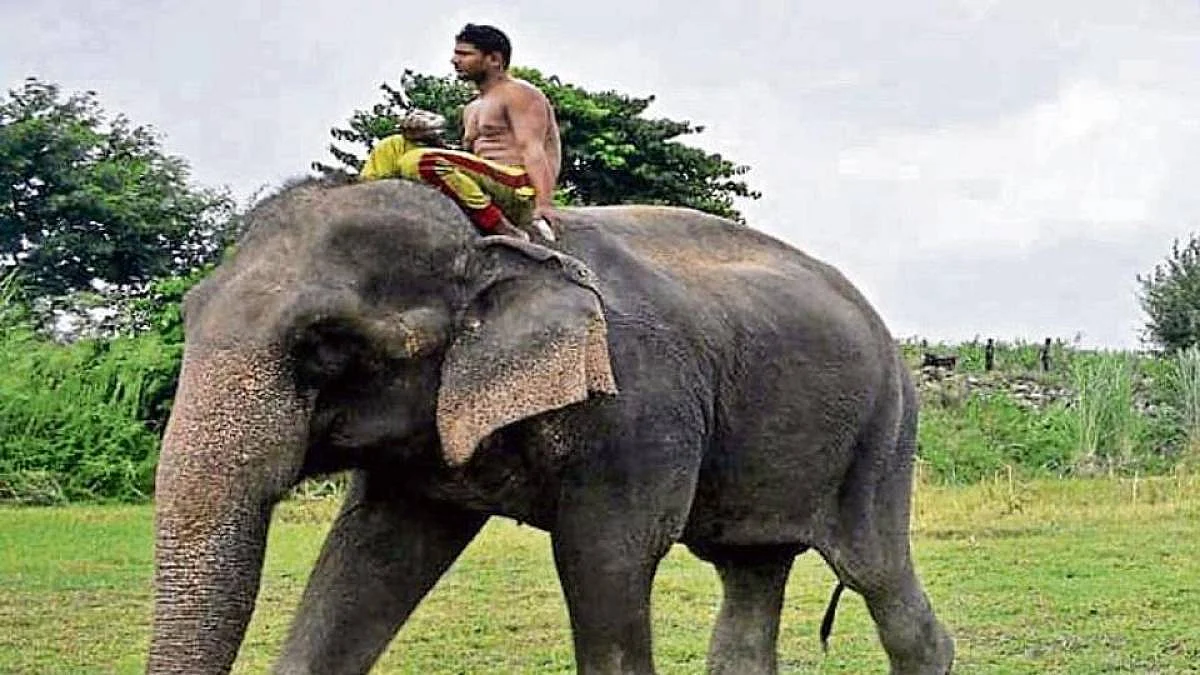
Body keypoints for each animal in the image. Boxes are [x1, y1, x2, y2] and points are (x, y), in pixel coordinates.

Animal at [146, 176, 953, 675]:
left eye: (327, 345)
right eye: (189, 313)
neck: (490, 238)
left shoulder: (637, 408)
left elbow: (607, 560)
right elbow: (370, 558)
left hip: (883, 435)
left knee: (876, 573)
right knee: (749, 576)